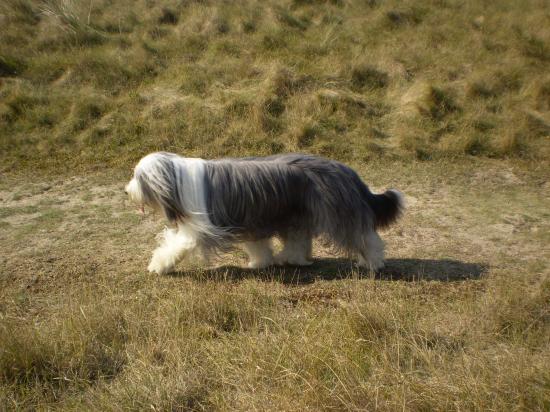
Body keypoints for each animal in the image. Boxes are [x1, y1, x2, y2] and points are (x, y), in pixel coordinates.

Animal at [126, 151, 406, 274]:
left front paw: (158, 265)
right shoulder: (251, 219)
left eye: (138, 177)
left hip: (338, 213)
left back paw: (373, 262)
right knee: (298, 240)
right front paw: (260, 262)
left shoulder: (203, 227)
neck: (178, 181)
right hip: (297, 213)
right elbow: (257, 244)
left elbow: (177, 244)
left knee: (364, 236)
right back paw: (293, 259)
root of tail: (347, 171)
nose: (127, 191)